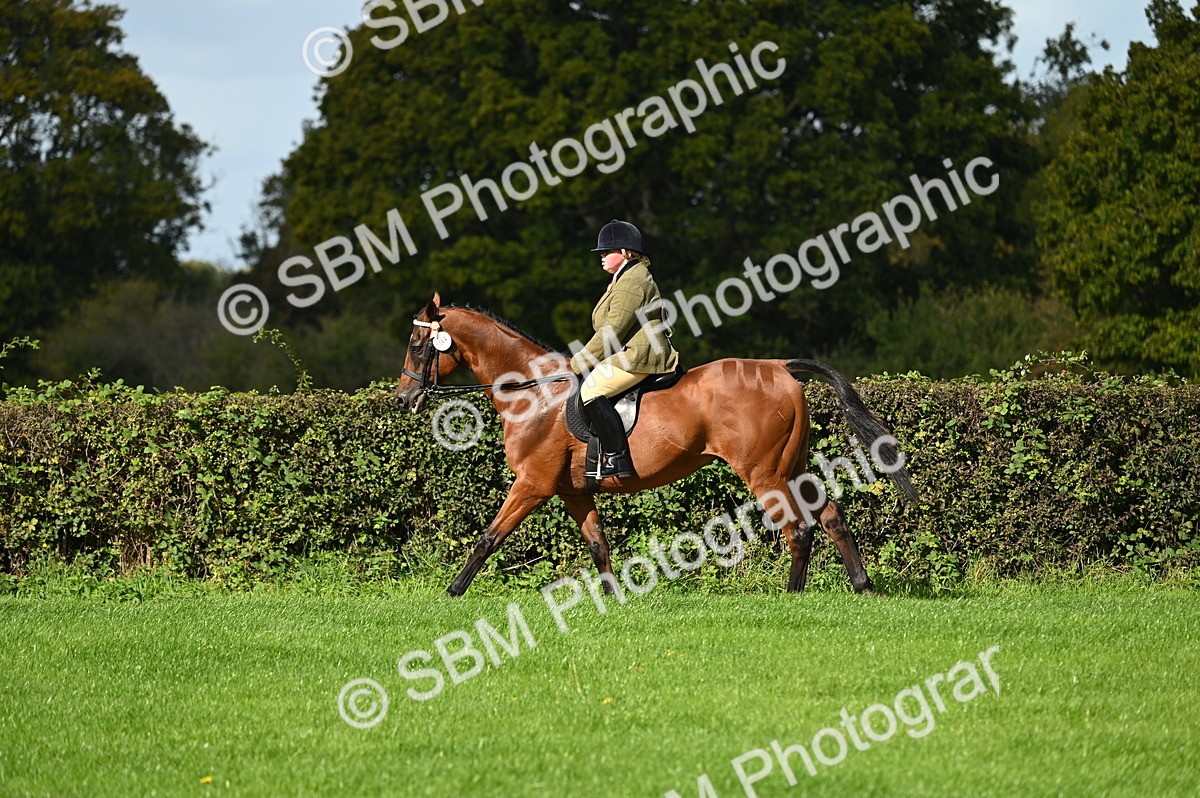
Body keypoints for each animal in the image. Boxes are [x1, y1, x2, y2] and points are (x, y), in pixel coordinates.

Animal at [395, 294, 917, 597]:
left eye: (419, 347)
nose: (403, 400)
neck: (535, 393)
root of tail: (780, 367)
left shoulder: (532, 484)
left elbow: (489, 537)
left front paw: (452, 591)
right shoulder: (573, 491)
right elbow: (598, 544)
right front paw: (611, 597)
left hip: (764, 472)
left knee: (799, 528)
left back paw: (793, 594)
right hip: (793, 466)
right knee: (829, 516)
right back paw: (863, 586)